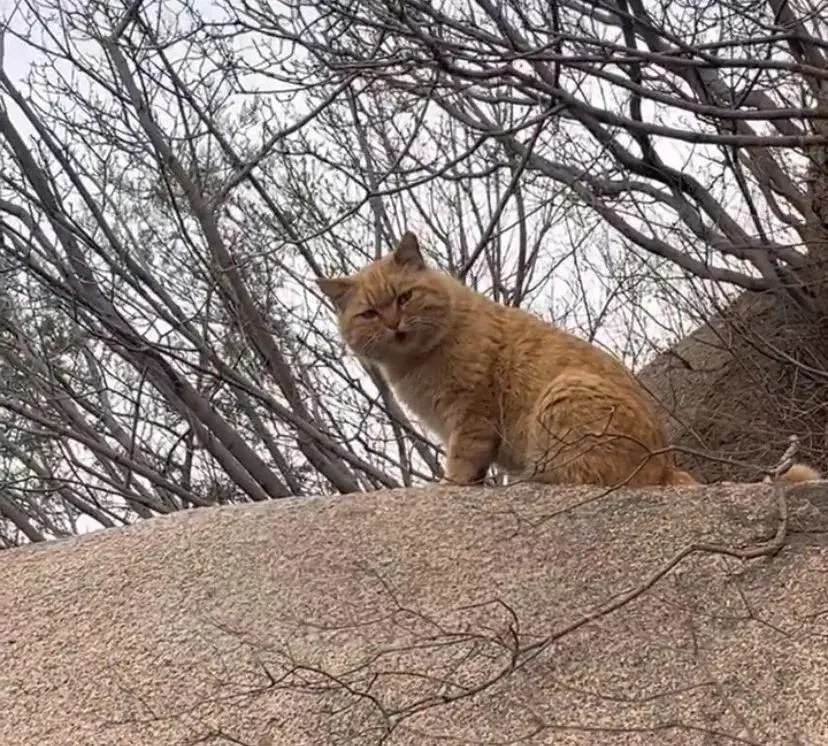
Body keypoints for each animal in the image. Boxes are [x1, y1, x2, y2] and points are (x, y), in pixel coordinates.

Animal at [318, 232, 820, 488]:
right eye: (369, 313)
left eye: (404, 298)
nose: (393, 325)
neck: (416, 364)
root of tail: (667, 464)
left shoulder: (472, 415)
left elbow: (460, 464)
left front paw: (450, 486)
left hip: (563, 396)